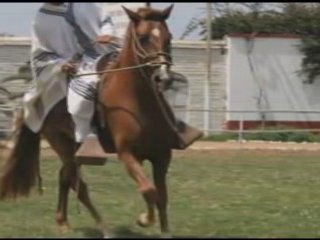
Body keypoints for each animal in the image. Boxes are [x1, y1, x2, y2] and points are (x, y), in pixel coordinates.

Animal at [0, 4, 180, 237]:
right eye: (143, 37)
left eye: (168, 36)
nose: (163, 77)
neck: (136, 102)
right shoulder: (127, 154)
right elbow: (149, 190)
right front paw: (144, 219)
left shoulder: (161, 155)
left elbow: (161, 197)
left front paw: (165, 231)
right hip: (62, 144)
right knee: (78, 185)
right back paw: (104, 229)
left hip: (73, 147)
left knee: (65, 176)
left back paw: (63, 221)